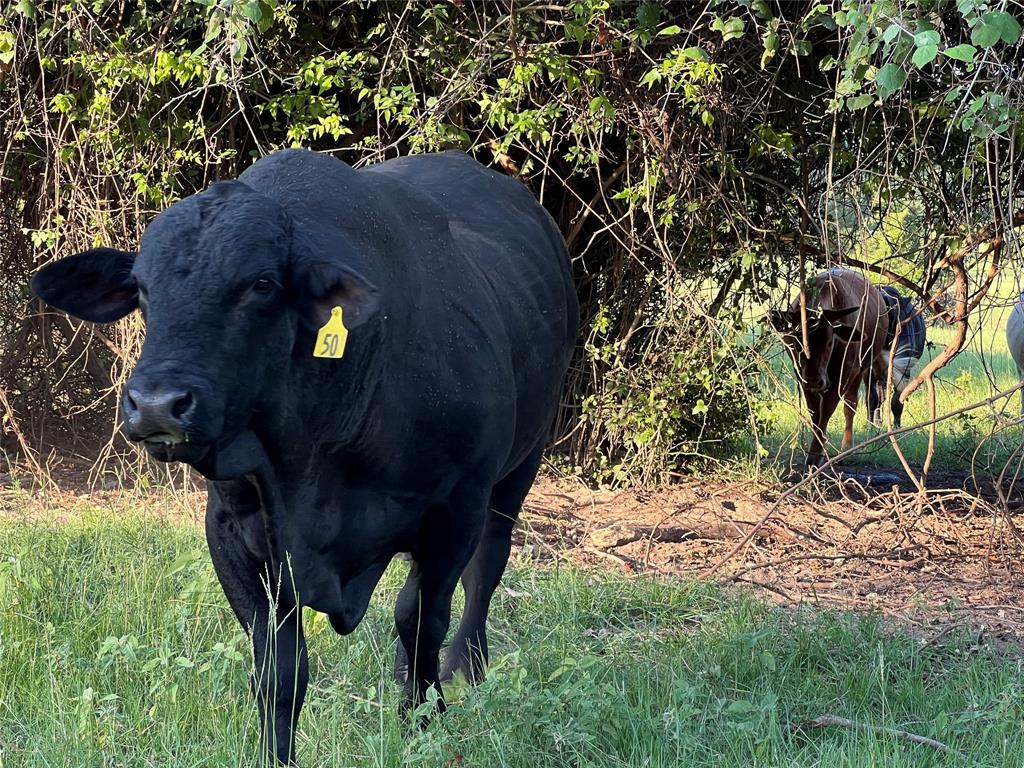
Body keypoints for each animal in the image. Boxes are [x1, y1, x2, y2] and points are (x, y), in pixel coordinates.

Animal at [32, 148, 581, 765]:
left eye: (262, 284)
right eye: (143, 289)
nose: (155, 404)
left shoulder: (455, 508)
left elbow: (422, 621)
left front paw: (424, 719)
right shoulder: (235, 533)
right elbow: (279, 670)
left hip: (520, 465)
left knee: (486, 566)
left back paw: (466, 664)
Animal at [770, 270, 888, 473]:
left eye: (830, 342)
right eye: (797, 341)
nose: (814, 380)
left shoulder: (843, 376)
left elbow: (826, 412)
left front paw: (815, 457)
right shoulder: (803, 379)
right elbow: (815, 413)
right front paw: (816, 452)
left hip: (862, 369)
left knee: (851, 405)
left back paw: (846, 446)